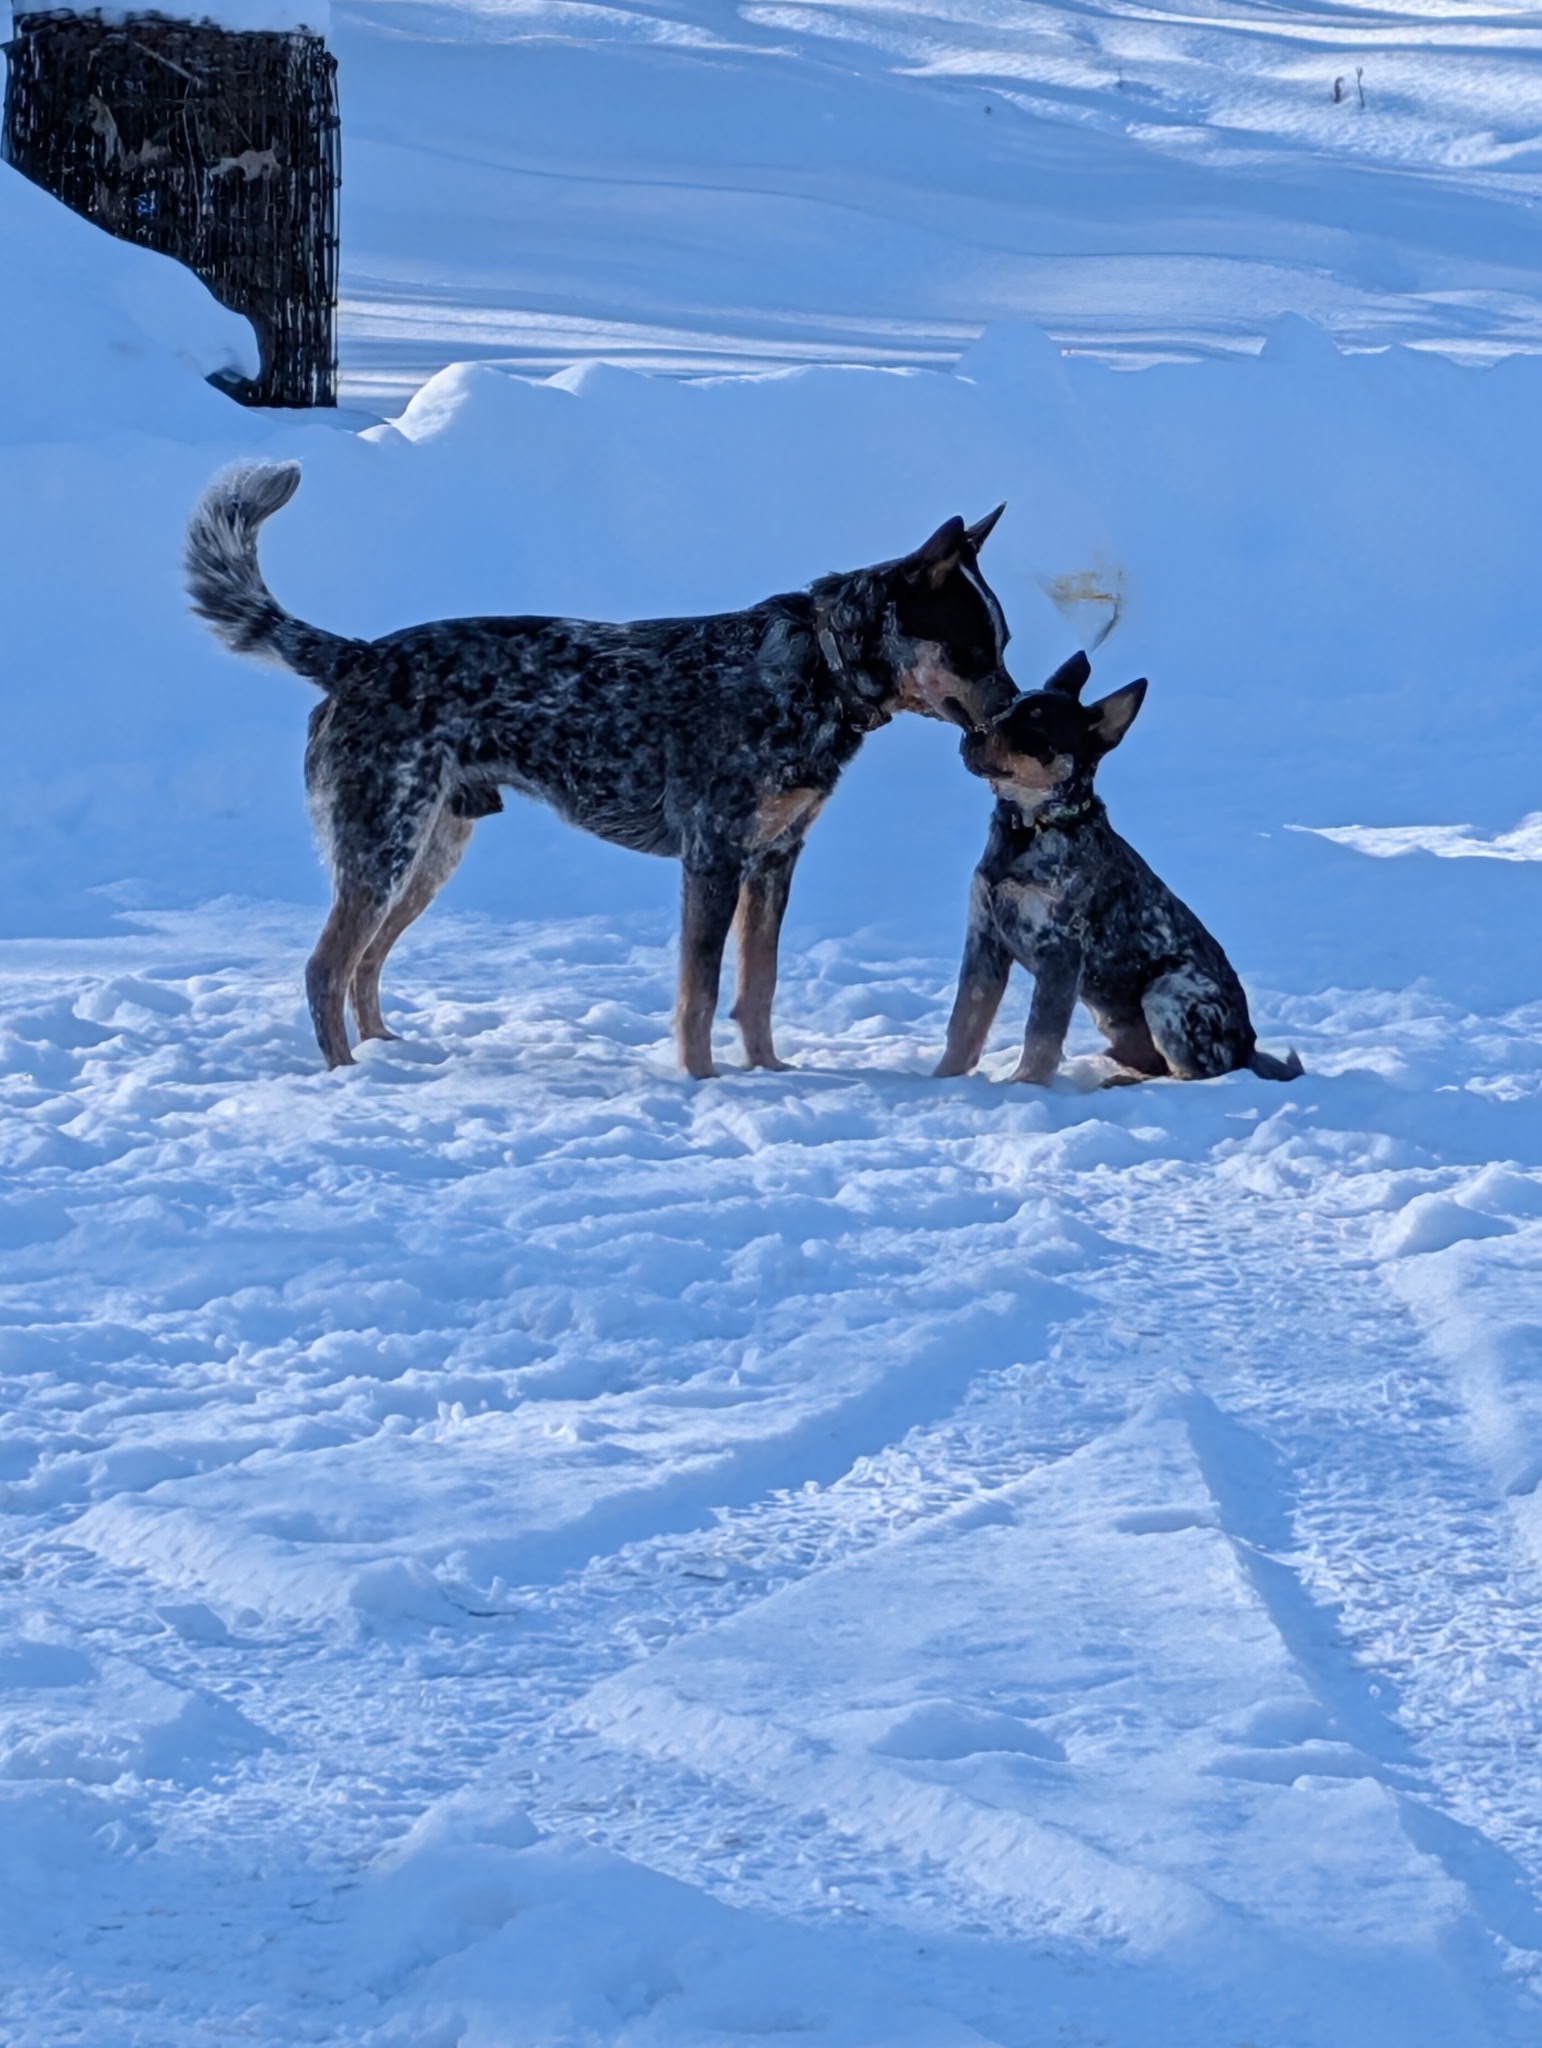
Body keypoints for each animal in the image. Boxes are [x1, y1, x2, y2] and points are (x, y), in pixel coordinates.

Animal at [185, 462, 1019, 1076]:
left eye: (1004, 643)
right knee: (325, 967)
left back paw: (389, 1050)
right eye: (973, 648)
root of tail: (356, 656)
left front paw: (769, 1074)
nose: (1017, 711)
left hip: (429, 853)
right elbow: (701, 992)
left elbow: (760, 985)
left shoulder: (775, 859)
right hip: (383, 845)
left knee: (365, 962)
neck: (813, 668)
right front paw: (701, 1081)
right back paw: (347, 1074)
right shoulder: (713, 856)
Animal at [935, 651, 1302, 1086]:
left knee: (1196, 1074)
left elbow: (1041, 1032)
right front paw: (940, 1078)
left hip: (1167, 991)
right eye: (1005, 707)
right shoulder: (983, 939)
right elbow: (965, 1021)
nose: (970, 730)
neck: (1031, 828)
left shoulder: (1061, 950)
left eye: (1035, 725)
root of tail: (1247, 1048)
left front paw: (1025, 1086)